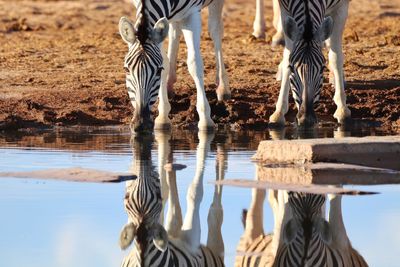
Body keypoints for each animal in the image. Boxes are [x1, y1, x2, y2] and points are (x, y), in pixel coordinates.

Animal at [119, 0, 230, 133]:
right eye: (126, 69)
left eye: (158, 71)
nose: (141, 125)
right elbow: (165, 61)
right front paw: (163, 117)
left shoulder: (191, 13)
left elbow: (194, 64)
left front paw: (205, 120)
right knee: (174, 31)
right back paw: (169, 84)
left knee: (215, 30)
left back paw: (223, 87)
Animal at [119, 132, 225, 267]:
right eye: (126, 198)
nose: (141, 162)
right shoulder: (192, 237)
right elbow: (195, 191)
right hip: (214, 246)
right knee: (214, 215)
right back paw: (221, 157)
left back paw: (171, 162)